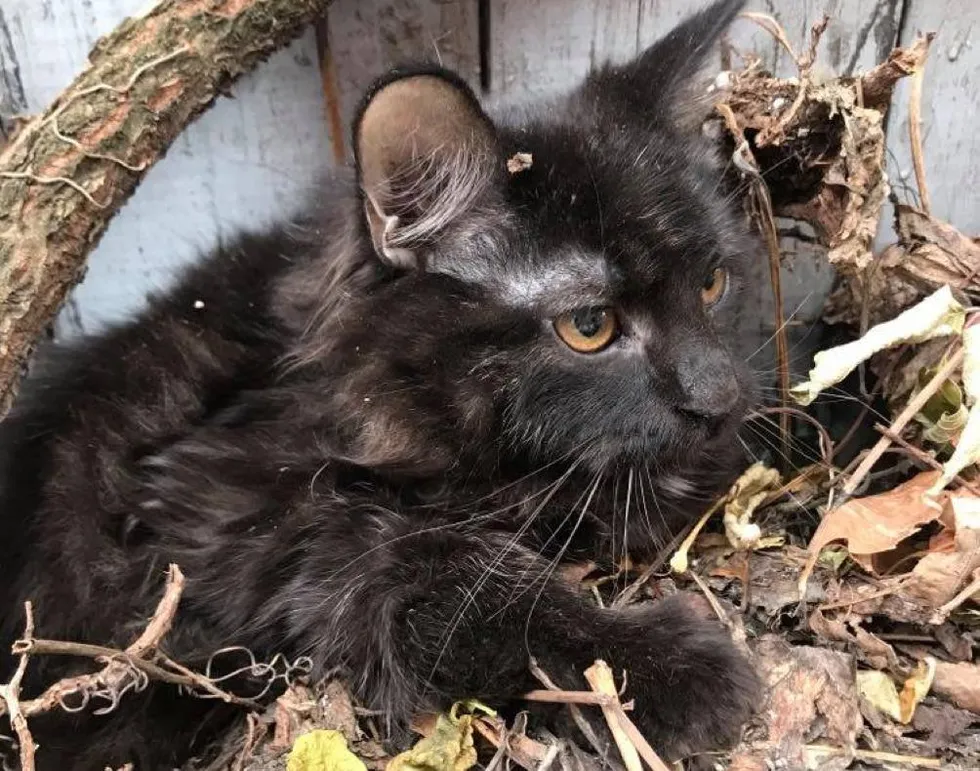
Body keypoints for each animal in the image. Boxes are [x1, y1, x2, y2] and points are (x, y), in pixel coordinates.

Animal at [0, 0, 762, 768]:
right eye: (589, 325)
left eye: (712, 284)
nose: (719, 398)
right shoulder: (245, 526)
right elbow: (467, 582)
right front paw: (666, 664)